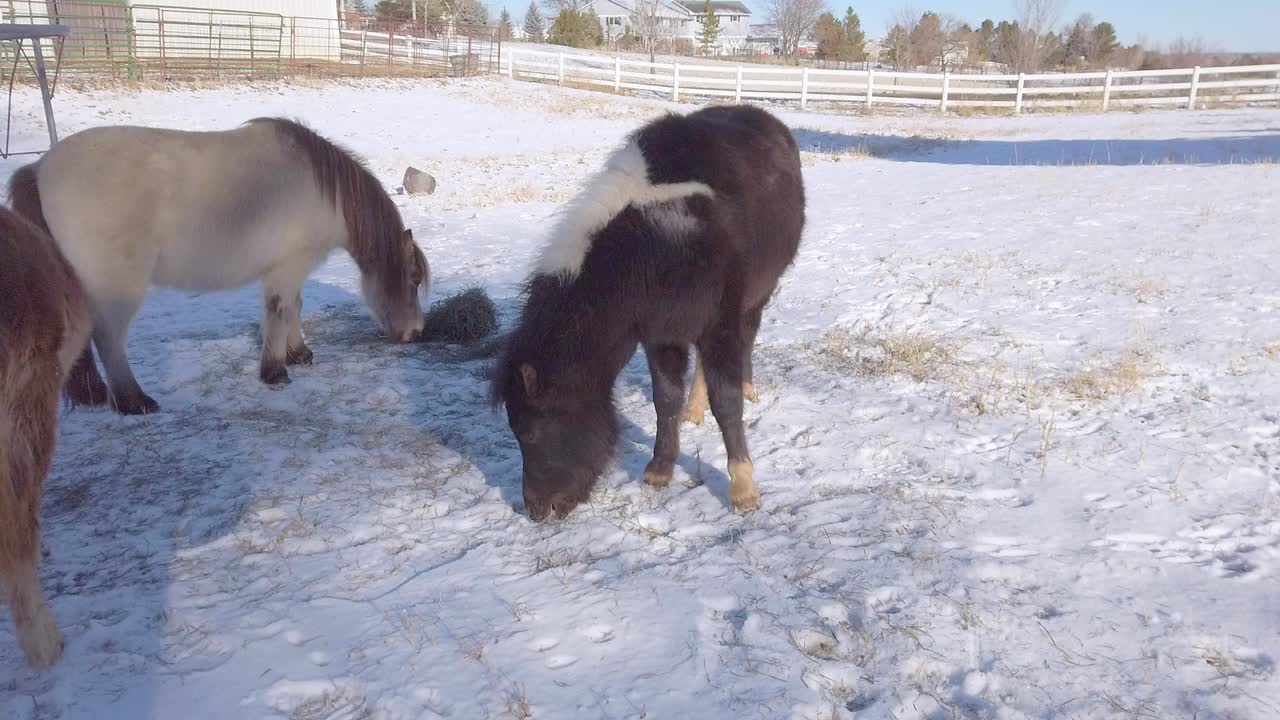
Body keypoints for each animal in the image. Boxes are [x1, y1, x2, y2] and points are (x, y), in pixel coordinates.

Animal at [8, 117, 430, 415]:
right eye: (411, 278)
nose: (416, 332)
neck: (325, 193)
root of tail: (40, 169)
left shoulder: (289, 269)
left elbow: (294, 307)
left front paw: (298, 354)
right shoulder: (289, 265)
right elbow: (281, 310)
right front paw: (275, 372)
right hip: (119, 287)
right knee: (109, 339)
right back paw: (133, 401)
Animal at [491, 105, 804, 521]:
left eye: (531, 431)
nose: (537, 510)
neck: (654, 244)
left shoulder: (719, 324)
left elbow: (727, 402)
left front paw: (743, 489)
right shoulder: (662, 333)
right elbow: (665, 398)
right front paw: (660, 469)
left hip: (756, 297)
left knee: (747, 339)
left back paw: (747, 386)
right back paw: (694, 410)